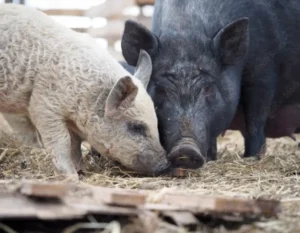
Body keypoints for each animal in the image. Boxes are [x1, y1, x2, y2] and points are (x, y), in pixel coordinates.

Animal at [0, 3, 170, 178]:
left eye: (157, 122)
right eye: (136, 127)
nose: (165, 165)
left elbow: (75, 144)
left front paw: (82, 171)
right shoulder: (43, 104)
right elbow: (62, 141)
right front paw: (72, 177)